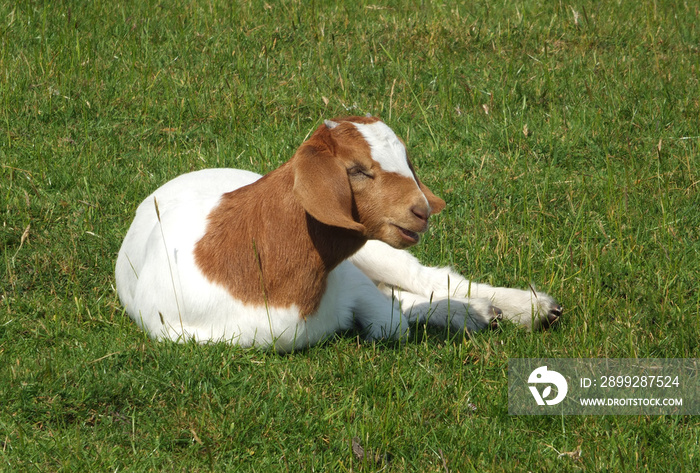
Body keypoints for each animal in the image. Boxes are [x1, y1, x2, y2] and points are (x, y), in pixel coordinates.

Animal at [116, 114, 564, 350]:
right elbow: (394, 318)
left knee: (432, 278)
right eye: (357, 170)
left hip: (376, 252)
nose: (420, 211)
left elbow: (392, 319)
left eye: (407, 161)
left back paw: (529, 308)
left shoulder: (350, 274)